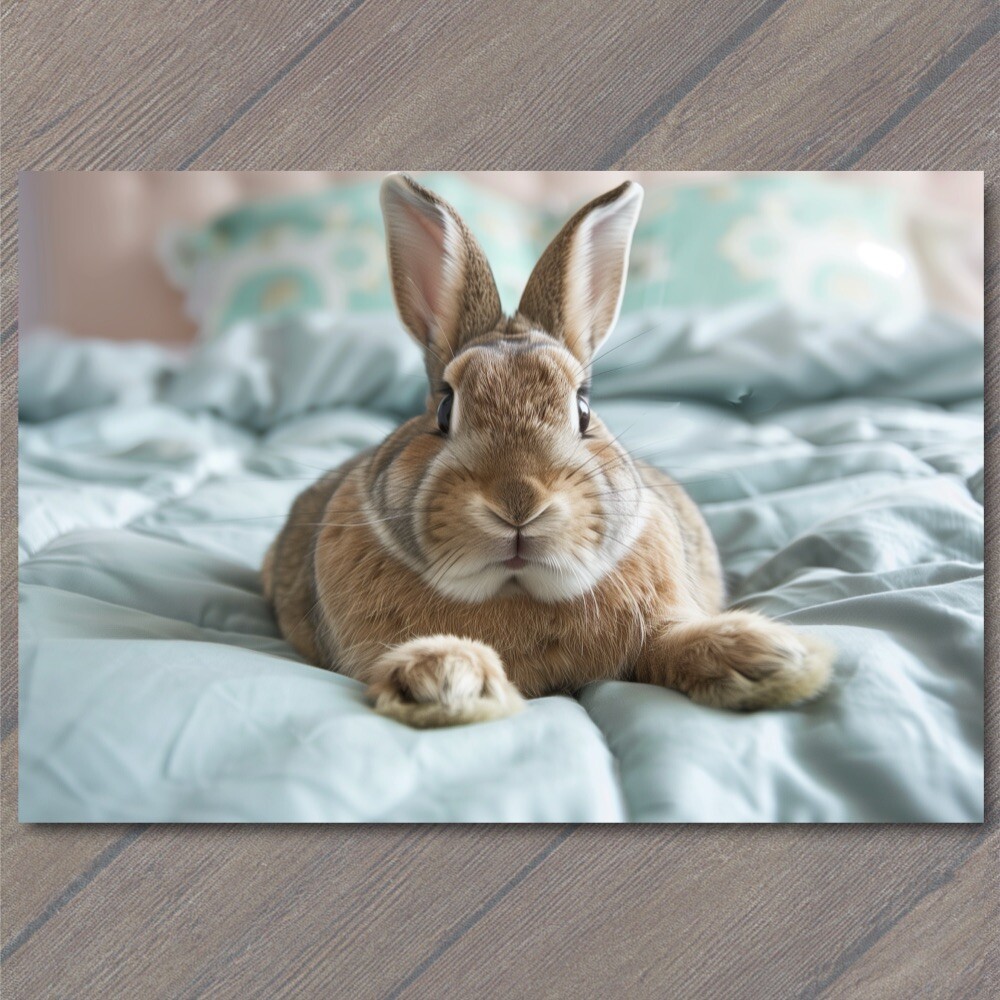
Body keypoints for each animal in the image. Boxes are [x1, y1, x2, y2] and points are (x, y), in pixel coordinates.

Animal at [262, 174, 834, 728]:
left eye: (583, 409)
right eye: (444, 409)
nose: (519, 502)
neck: (514, 589)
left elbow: (671, 641)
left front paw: (771, 658)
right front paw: (446, 679)